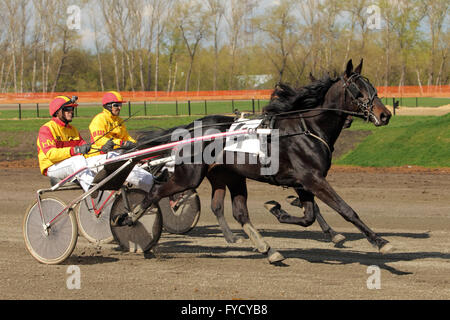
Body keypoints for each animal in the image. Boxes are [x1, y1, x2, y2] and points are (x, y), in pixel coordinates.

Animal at [114, 58, 392, 264]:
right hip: (188, 176)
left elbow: (309, 216)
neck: (307, 128)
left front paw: (277, 209)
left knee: (235, 211)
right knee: (156, 191)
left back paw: (267, 249)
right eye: (359, 90)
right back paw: (128, 218)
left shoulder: (303, 182)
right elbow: (345, 209)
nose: (385, 115)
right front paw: (380, 242)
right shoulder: (312, 179)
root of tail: (191, 128)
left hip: (228, 175)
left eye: (373, 88)